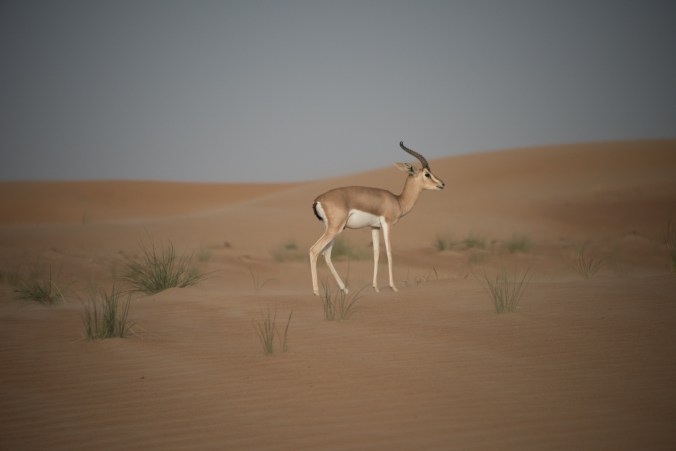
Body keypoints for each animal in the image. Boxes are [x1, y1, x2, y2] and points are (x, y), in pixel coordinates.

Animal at [310, 141, 445, 295]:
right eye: (427, 174)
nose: (442, 184)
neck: (398, 201)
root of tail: (318, 200)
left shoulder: (374, 227)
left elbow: (376, 253)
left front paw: (376, 287)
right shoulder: (387, 224)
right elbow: (389, 251)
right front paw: (393, 287)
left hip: (333, 229)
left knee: (326, 254)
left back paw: (345, 289)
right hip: (334, 229)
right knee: (314, 250)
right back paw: (316, 292)